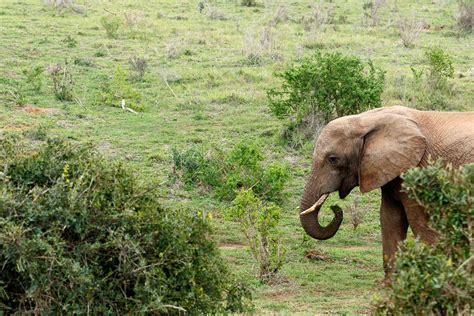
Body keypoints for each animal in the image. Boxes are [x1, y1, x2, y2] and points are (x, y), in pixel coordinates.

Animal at [300, 106, 474, 274]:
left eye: (333, 159)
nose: (335, 207)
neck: (367, 119)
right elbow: (389, 219)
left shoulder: (418, 173)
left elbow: (421, 225)